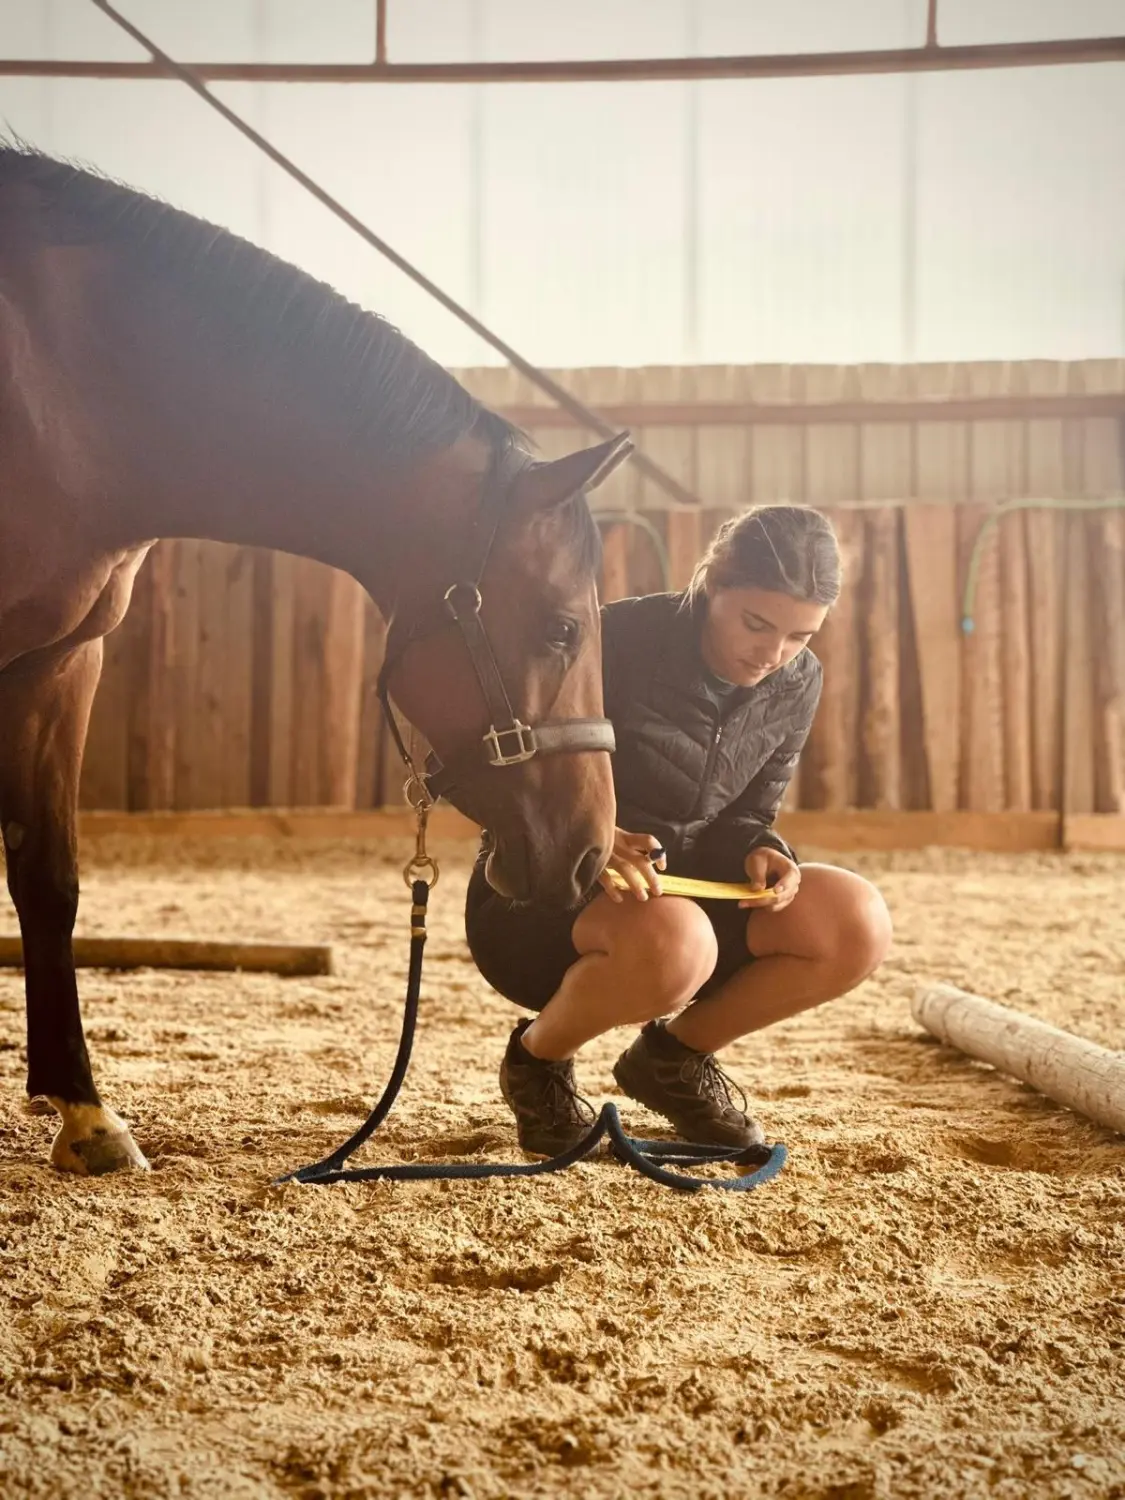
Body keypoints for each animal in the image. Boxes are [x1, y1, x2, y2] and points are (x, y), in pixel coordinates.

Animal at [0, 146, 627, 1176]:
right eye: (561, 630)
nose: (589, 855)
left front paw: (85, 1116)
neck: (65, 389)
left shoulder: (58, 660)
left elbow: (48, 879)